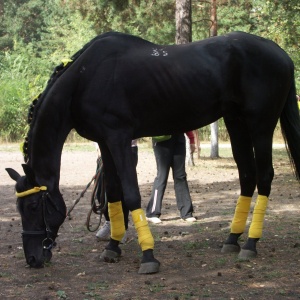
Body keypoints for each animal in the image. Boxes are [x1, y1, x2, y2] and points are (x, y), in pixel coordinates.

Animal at [5, 31, 300, 274]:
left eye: (33, 206)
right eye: (19, 207)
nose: (33, 259)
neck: (85, 79)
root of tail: (282, 54)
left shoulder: (119, 138)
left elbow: (131, 194)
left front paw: (148, 255)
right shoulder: (105, 142)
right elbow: (114, 193)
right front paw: (112, 246)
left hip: (260, 125)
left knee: (264, 176)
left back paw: (250, 243)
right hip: (236, 122)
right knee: (247, 176)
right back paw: (232, 239)